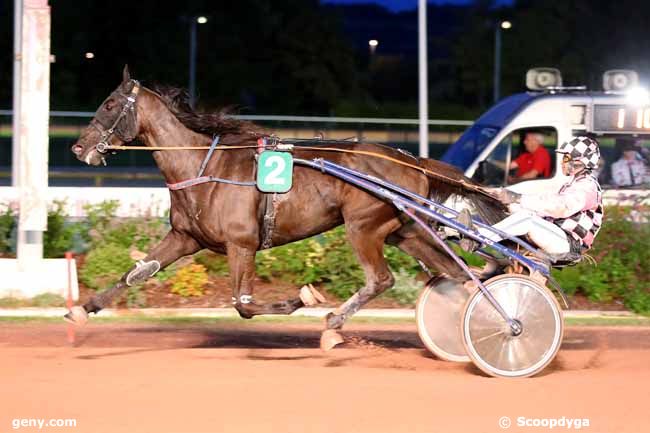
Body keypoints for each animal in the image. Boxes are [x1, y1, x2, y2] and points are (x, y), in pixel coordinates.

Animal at [67, 67, 502, 350]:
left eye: (109, 105)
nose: (78, 147)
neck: (202, 165)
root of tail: (411, 160)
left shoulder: (241, 244)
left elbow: (243, 305)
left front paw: (304, 298)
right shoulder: (184, 238)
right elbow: (135, 274)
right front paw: (83, 309)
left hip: (362, 226)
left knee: (382, 279)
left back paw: (334, 325)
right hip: (402, 231)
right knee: (455, 273)